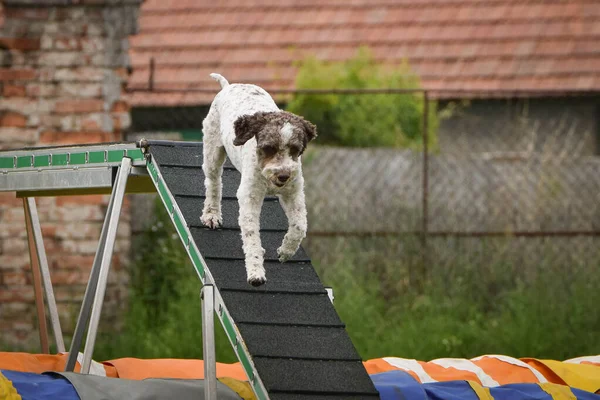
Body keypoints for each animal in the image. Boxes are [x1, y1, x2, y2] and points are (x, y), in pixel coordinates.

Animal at [200, 72, 316, 284]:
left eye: (295, 149)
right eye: (269, 147)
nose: (283, 175)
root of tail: (228, 86)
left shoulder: (293, 193)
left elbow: (299, 225)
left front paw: (285, 252)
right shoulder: (250, 197)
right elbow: (251, 235)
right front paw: (255, 273)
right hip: (212, 151)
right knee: (213, 183)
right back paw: (211, 215)